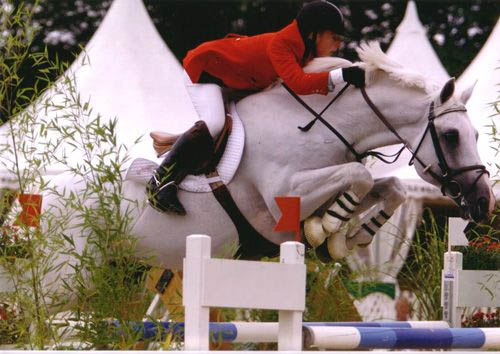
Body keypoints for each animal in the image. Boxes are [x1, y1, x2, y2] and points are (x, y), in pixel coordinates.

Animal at [40, 42, 496, 276]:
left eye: (474, 134)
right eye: (452, 136)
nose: (483, 202)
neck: (317, 124)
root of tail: (44, 194)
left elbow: (392, 186)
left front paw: (345, 237)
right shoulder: (286, 194)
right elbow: (359, 176)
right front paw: (325, 231)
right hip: (66, 275)